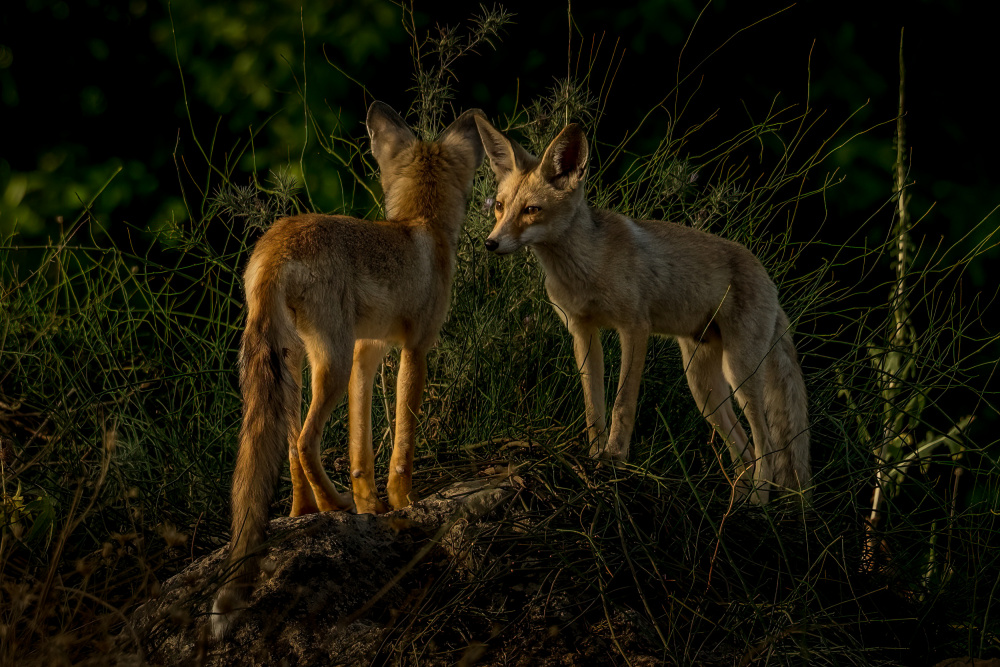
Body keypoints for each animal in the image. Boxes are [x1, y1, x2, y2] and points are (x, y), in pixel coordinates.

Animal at [213, 102, 486, 640]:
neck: (421, 223)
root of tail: (274, 246)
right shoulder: (415, 348)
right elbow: (403, 441)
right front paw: (401, 502)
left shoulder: (368, 350)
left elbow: (362, 450)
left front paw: (370, 508)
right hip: (330, 363)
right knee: (304, 442)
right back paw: (331, 507)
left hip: (298, 365)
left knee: (289, 450)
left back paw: (305, 512)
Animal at [472, 117, 808, 504]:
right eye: (499, 206)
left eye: (531, 210)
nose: (490, 243)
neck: (586, 268)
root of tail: (769, 279)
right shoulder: (582, 331)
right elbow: (594, 408)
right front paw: (594, 460)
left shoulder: (634, 328)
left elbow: (622, 405)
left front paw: (615, 459)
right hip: (703, 388)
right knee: (745, 450)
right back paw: (738, 506)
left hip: (739, 373)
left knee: (766, 444)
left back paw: (757, 502)